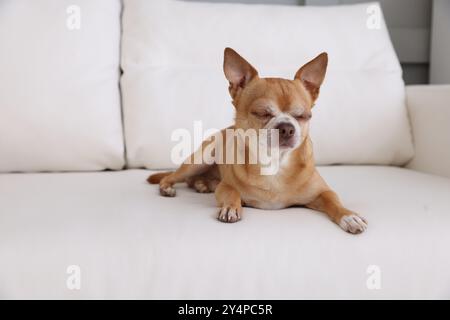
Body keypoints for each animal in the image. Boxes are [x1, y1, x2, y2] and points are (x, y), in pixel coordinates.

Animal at [149, 47, 368, 234]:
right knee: (174, 176)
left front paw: (349, 216)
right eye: (262, 113)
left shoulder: (322, 192)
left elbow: (334, 200)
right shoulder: (226, 187)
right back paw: (169, 187)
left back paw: (202, 184)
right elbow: (232, 192)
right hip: (200, 159)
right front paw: (231, 208)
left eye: (302, 116)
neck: (275, 163)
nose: (287, 128)